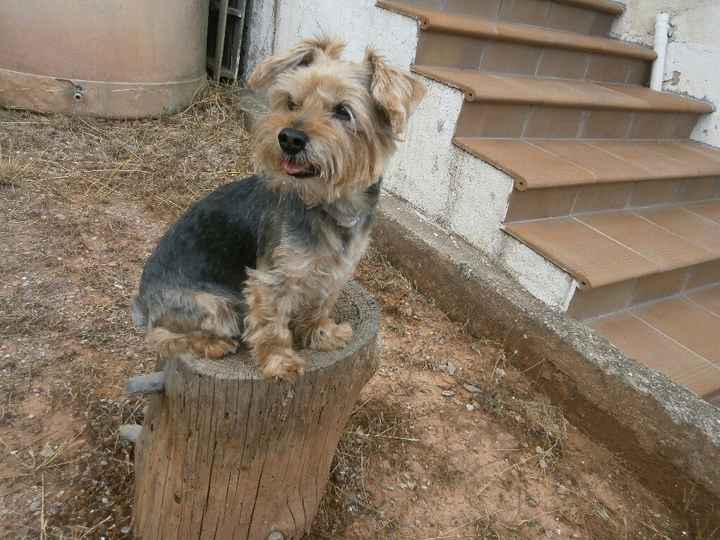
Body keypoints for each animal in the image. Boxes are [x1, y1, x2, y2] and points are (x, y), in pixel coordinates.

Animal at [132, 37, 424, 380]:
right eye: (291, 103)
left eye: (343, 111)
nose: (290, 138)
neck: (330, 203)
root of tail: (142, 301)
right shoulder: (272, 279)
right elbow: (272, 325)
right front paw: (280, 361)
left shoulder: (335, 269)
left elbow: (319, 304)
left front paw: (321, 335)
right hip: (211, 305)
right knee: (162, 335)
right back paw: (214, 344)